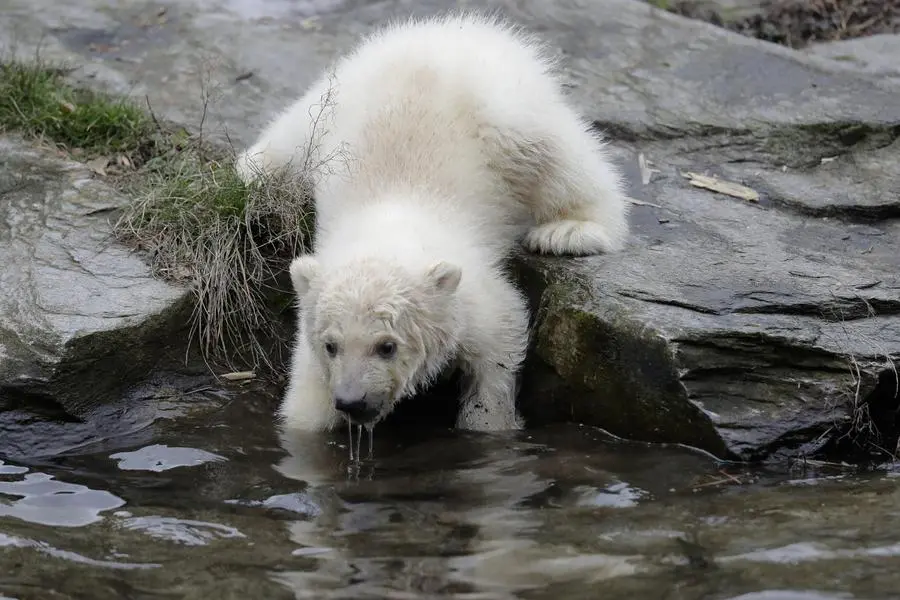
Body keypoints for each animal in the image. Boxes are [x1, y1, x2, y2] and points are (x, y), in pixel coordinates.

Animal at [235, 11, 630, 434]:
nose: (354, 402)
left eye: (387, 345)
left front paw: (488, 421)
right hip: (333, 101)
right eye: (332, 344)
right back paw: (253, 169)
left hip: (509, 112)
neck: (388, 220)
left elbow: (500, 338)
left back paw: (571, 230)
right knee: (292, 140)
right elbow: (307, 396)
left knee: (563, 159)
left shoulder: (472, 292)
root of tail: (446, 26)